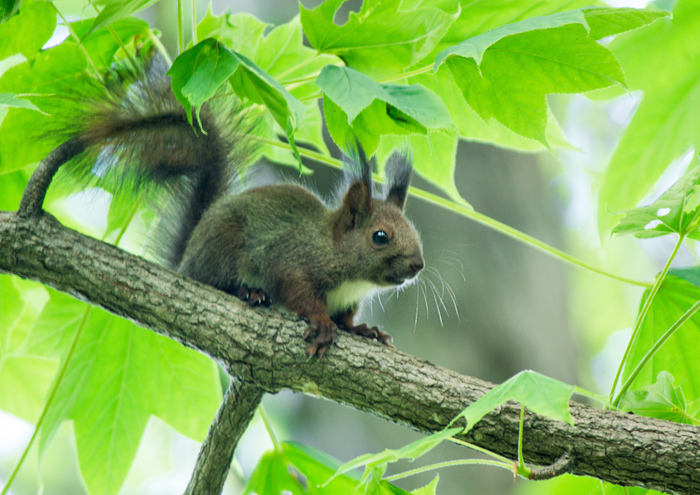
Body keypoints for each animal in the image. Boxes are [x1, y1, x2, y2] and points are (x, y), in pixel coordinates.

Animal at [49, 58, 424, 356]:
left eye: (414, 231)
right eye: (380, 236)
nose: (418, 265)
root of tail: (186, 259)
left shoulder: (346, 300)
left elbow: (346, 318)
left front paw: (362, 330)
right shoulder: (290, 258)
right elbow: (298, 293)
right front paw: (321, 321)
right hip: (222, 249)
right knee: (215, 281)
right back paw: (248, 291)